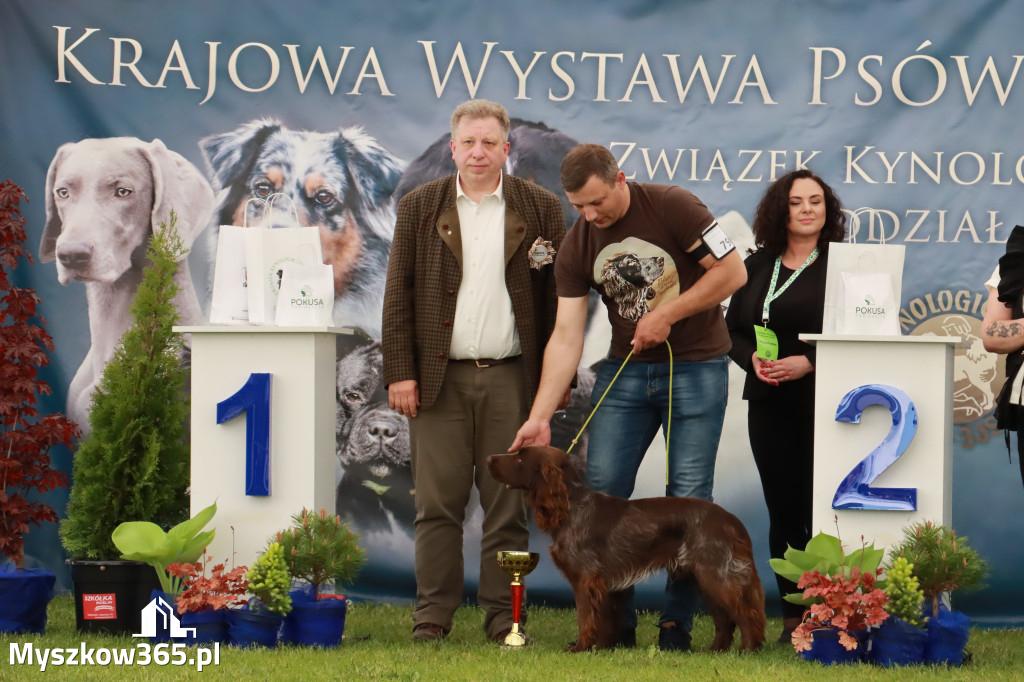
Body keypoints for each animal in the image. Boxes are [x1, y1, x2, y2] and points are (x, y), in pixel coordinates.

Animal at [489, 444, 770, 651]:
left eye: (520, 458)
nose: (490, 457)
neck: (573, 506)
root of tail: (731, 520)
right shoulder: (603, 584)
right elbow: (605, 619)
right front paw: (603, 647)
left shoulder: (585, 579)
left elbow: (585, 618)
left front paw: (581, 647)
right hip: (703, 577)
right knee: (725, 618)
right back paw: (715, 650)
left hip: (714, 574)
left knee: (745, 612)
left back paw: (748, 649)